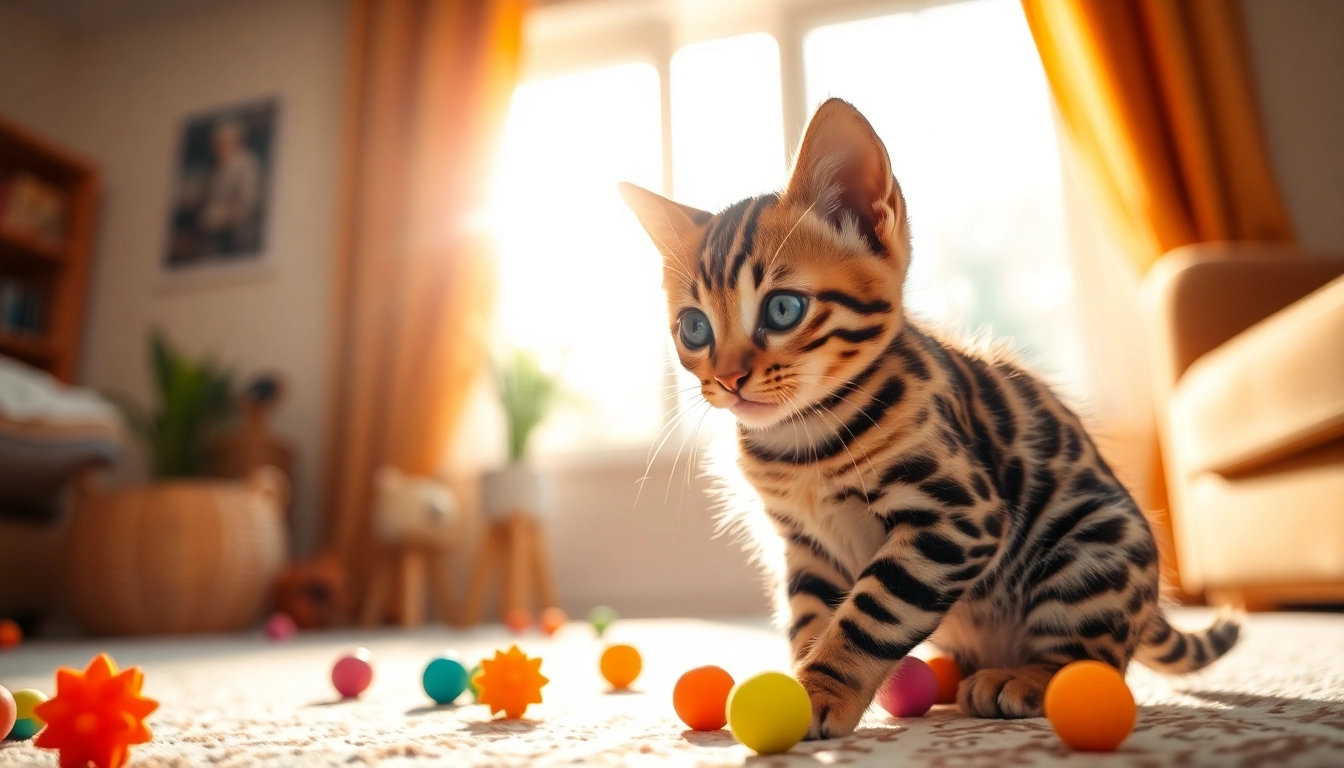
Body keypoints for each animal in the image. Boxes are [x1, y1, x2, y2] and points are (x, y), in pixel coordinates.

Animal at [620, 98, 1236, 742]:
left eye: (784, 309)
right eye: (694, 328)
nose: (729, 379)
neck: (801, 439)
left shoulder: (957, 517)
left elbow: (871, 613)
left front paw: (819, 690)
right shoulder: (805, 546)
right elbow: (812, 617)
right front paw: (796, 681)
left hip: (1094, 543)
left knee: (1095, 658)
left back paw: (1028, 678)